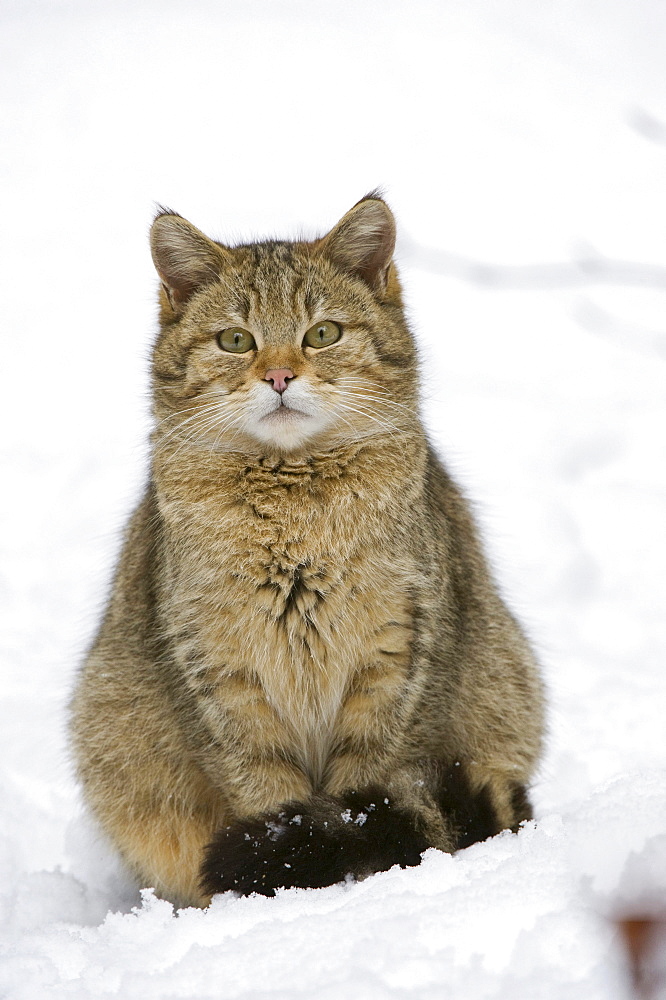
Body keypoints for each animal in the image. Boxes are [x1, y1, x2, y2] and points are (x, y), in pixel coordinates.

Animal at [70, 191, 544, 904]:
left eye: (322, 333)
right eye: (235, 339)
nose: (279, 376)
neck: (296, 513)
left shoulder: (399, 661)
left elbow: (366, 793)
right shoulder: (218, 676)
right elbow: (268, 795)